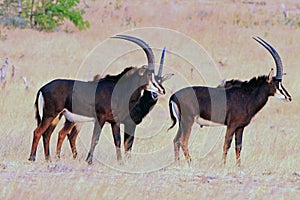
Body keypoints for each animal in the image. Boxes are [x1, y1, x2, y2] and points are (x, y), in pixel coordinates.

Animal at [29, 35, 173, 164]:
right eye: (149, 74)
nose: (162, 90)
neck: (118, 90)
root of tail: (43, 88)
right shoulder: (101, 118)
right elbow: (96, 139)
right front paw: (89, 161)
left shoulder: (115, 122)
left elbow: (118, 141)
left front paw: (120, 162)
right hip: (51, 114)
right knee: (38, 131)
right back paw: (32, 158)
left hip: (59, 116)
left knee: (48, 134)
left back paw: (49, 159)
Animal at [168, 36, 292, 166]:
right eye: (277, 84)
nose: (289, 97)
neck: (247, 96)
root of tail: (174, 96)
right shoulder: (232, 125)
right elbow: (226, 145)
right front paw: (223, 165)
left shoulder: (240, 127)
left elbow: (238, 146)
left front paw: (238, 166)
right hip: (188, 121)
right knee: (183, 141)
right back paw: (190, 164)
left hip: (182, 122)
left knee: (176, 140)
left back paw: (177, 163)